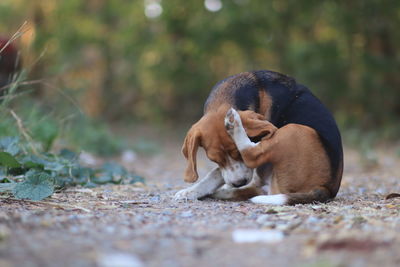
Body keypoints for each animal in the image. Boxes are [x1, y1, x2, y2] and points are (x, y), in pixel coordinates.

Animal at [175, 70, 344, 206]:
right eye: (214, 159)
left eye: (237, 153)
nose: (239, 183)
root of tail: (326, 188)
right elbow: (217, 172)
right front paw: (192, 191)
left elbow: (221, 171)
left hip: (294, 130)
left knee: (252, 155)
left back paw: (234, 124)